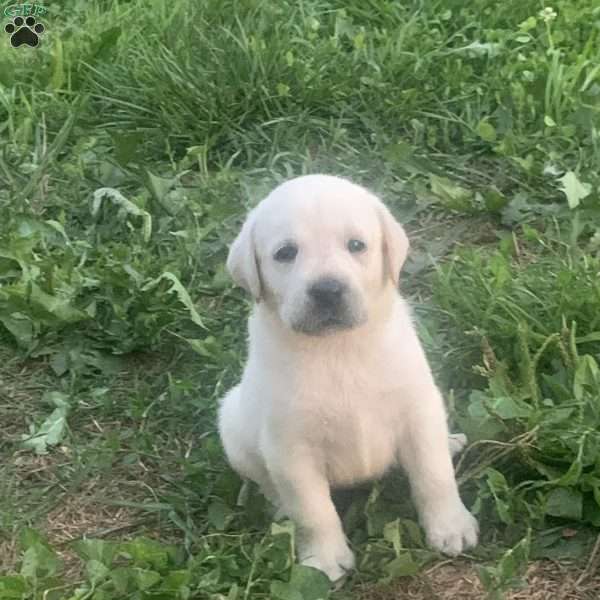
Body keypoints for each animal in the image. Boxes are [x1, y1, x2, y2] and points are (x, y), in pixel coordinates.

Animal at [218, 173, 476, 580]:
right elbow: (314, 511)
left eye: (356, 245)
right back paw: (279, 508)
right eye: (285, 253)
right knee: (266, 483)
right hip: (232, 427)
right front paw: (324, 560)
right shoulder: (292, 449)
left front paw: (450, 526)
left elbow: (434, 476)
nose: (327, 290)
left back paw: (450, 441)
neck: (337, 349)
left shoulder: (417, 410)